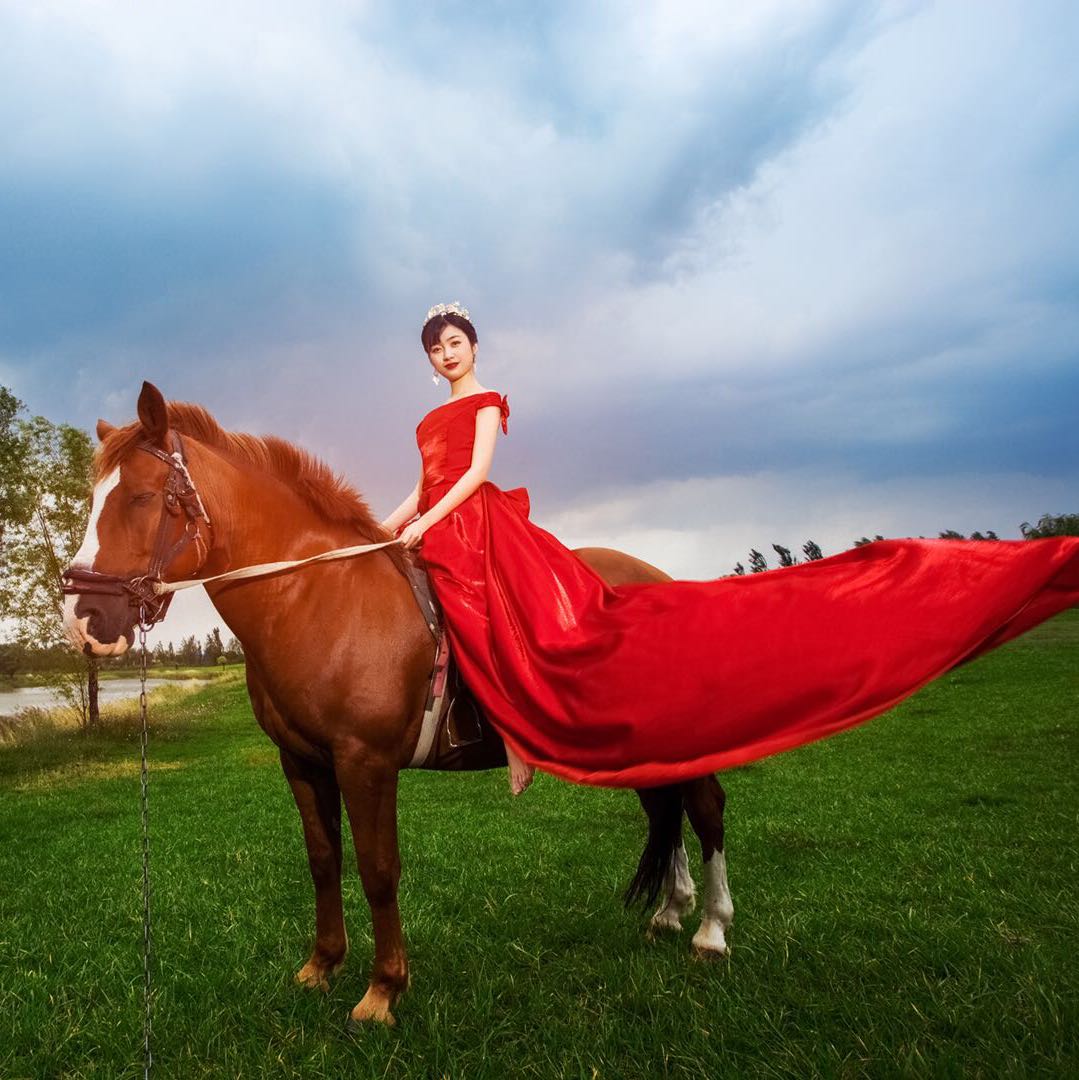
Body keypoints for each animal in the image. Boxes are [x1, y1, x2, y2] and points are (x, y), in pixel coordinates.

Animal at [61, 384, 734, 1023]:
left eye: (141, 498)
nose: (82, 618)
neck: (320, 596)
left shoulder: (367, 763)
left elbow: (379, 870)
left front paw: (383, 990)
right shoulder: (302, 761)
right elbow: (324, 860)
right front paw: (322, 965)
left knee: (704, 807)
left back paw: (710, 930)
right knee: (665, 805)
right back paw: (670, 913)